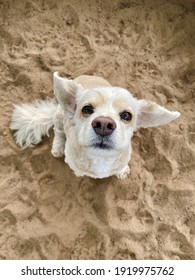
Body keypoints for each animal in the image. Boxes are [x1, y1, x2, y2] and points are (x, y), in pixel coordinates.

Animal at [9, 72, 181, 179]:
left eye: (127, 115)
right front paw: (78, 173)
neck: (101, 159)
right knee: (59, 131)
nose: (104, 124)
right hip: (59, 115)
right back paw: (57, 147)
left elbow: (121, 167)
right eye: (87, 109)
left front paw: (122, 171)